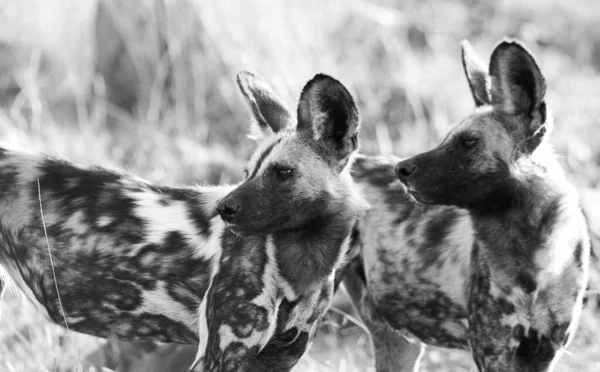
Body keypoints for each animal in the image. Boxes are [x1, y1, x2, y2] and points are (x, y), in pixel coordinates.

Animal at [0, 71, 366, 370]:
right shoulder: (218, 357)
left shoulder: (276, 359)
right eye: (247, 173)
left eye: (283, 173)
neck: (303, 262)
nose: (223, 207)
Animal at [342, 38, 592, 372]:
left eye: (469, 142)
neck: (533, 255)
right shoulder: (492, 352)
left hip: (398, 343)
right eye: (445, 138)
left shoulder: (542, 353)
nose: (401, 169)